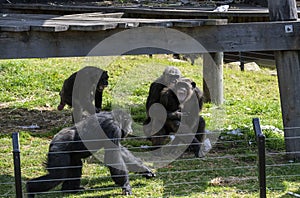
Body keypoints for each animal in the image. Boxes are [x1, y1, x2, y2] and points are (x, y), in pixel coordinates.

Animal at [26, 109, 155, 197]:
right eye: (129, 123)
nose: (130, 129)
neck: (115, 118)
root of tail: (53, 140)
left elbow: (122, 152)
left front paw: (145, 170)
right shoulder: (113, 129)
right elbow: (113, 156)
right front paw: (126, 185)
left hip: (71, 155)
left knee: (76, 166)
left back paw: (71, 190)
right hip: (58, 151)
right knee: (57, 175)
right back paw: (30, 189)